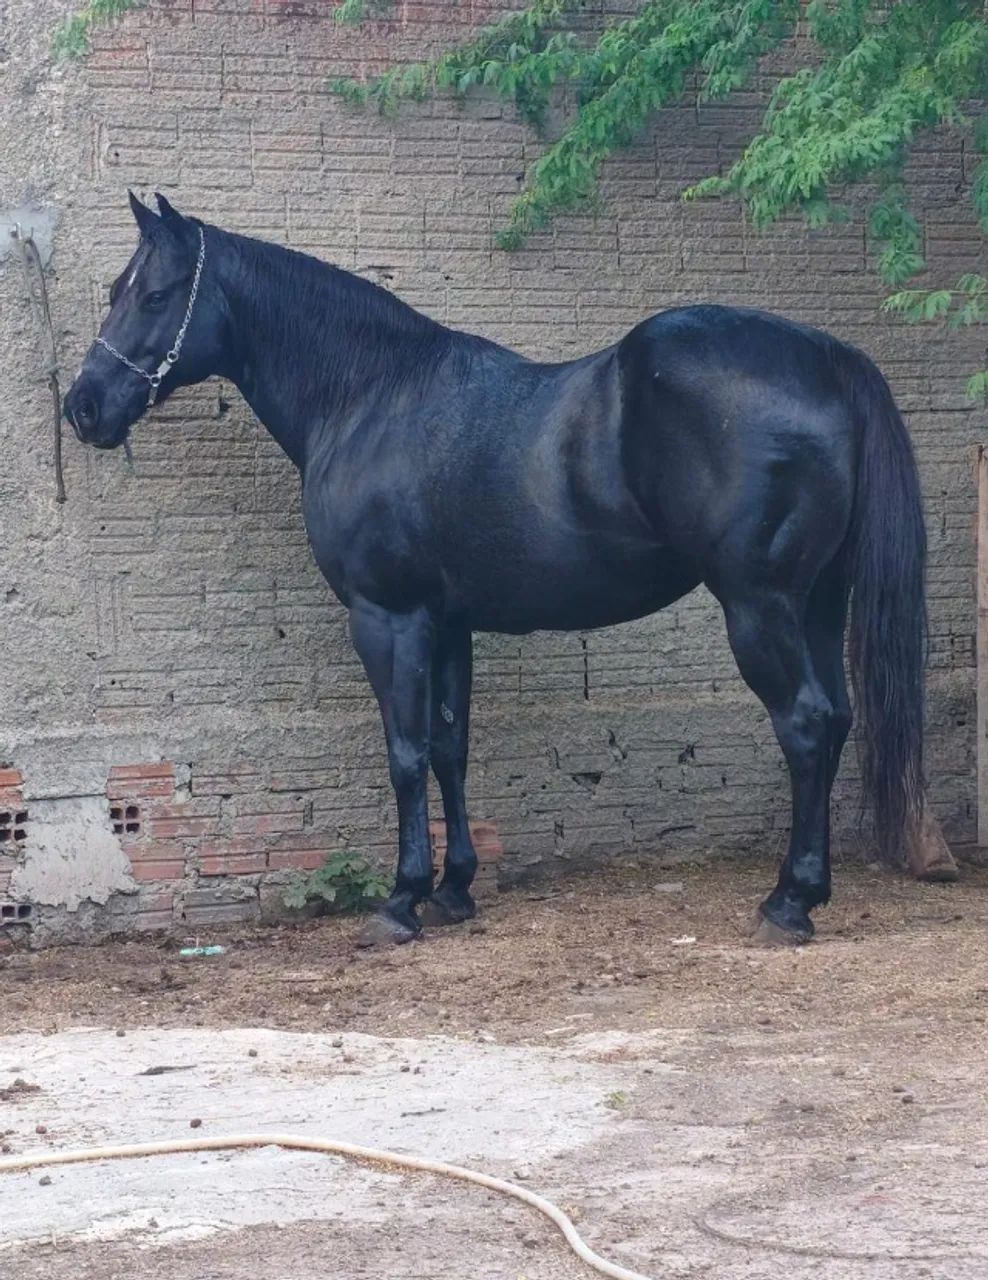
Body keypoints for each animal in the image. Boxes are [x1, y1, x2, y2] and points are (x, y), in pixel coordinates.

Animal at [63, 192, 927, 947]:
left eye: (156, 294)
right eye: (114, 291)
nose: (84, 407)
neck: (369, 396)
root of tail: (827, 358)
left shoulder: (388, 619)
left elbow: (406, 753)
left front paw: (401, 902)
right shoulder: (449, 624)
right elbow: (451, 748)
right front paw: (453, 890)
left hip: (758, 605)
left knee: (805, 725)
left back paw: (788, 904)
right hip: (818, 604)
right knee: (836, 719)